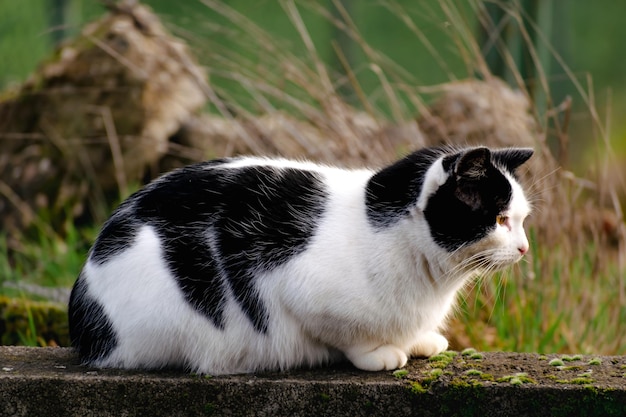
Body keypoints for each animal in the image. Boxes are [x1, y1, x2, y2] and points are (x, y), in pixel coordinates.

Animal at [68, 145, 532, 374]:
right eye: (500, 219)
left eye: (523, 219)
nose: (525, 248)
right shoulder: (301, 289)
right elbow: (347, 336)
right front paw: (381, 353)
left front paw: (418, 341)